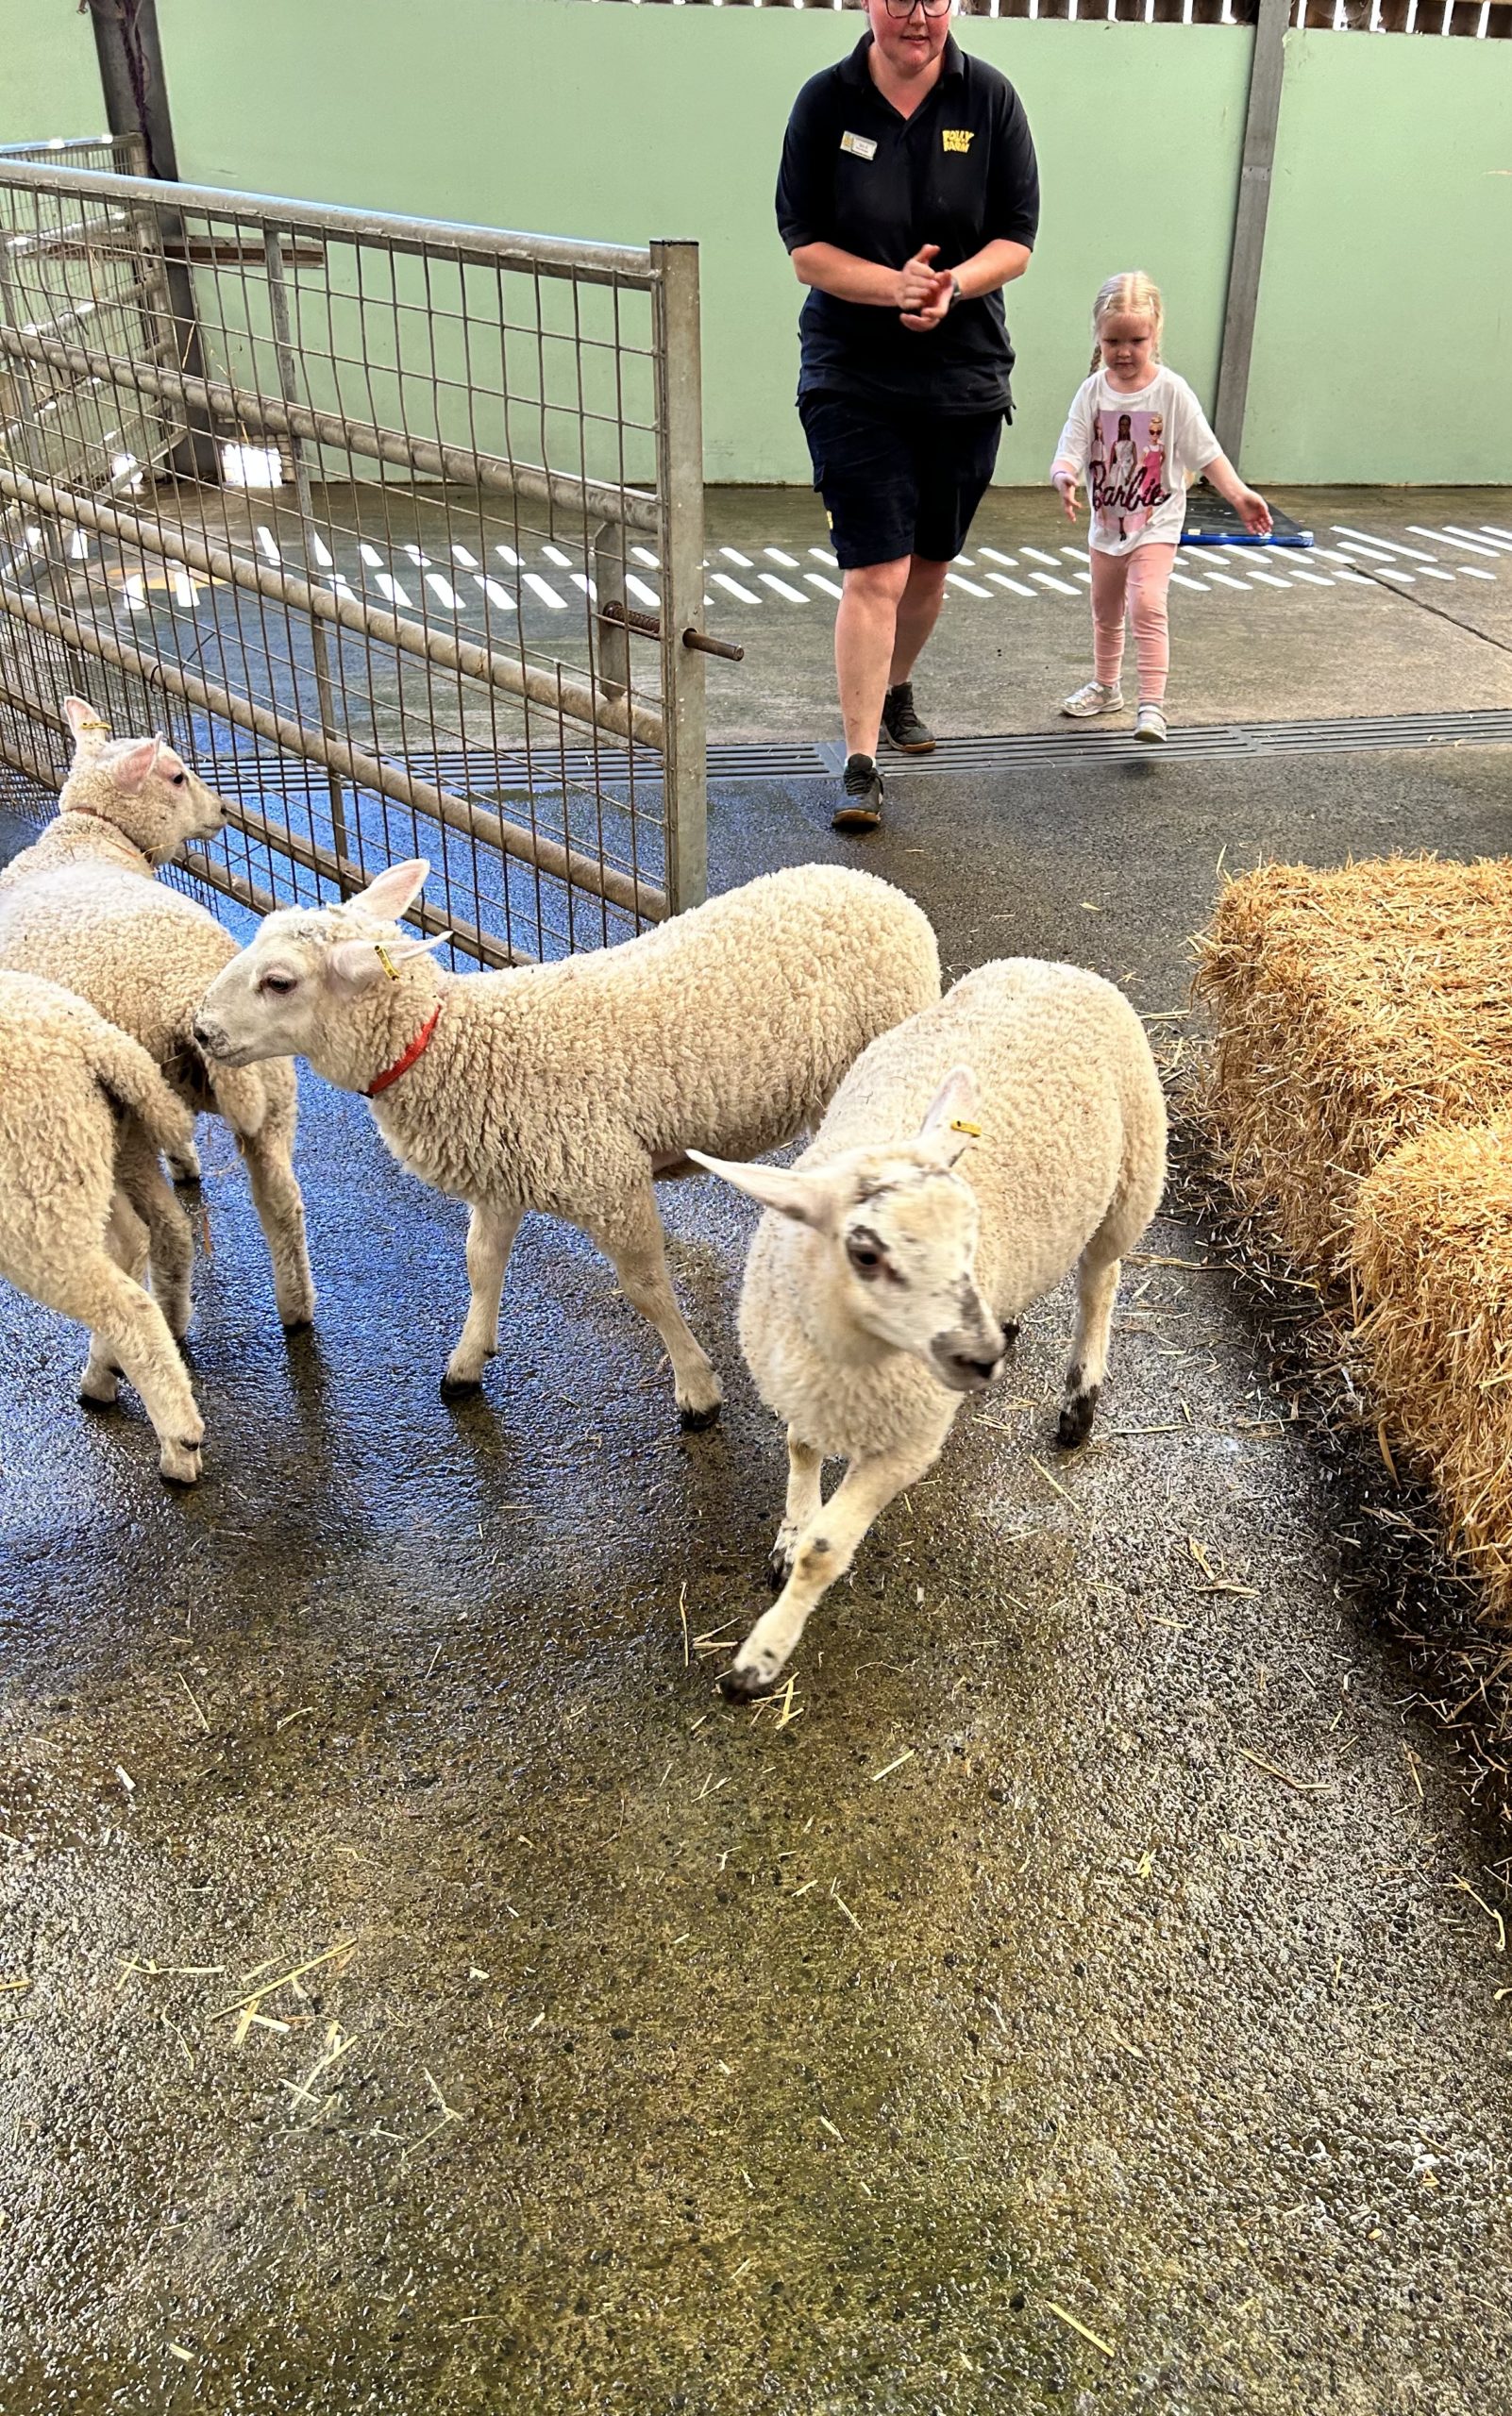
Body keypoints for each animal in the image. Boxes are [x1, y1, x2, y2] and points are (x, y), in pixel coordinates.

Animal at [0, 700, 313, 1334]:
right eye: (174, 776)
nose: (223, 811)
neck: (91, 835)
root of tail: (188, 998)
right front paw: (188, 1161)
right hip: (270, 1091)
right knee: (283, 1204)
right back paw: (296, 1309)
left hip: (129, 1120)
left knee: (170, 1230)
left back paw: (171, 1313)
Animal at [0, 971, 202, 1478]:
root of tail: (98, 1040)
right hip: (82, 1163)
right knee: (132, 1241)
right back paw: (102, 1373)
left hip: (35, 1200)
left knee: (128, 1304)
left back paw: (180, 1445)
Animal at [193, 855, 936, 1420]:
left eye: (279, 982)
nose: (200, 1031)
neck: (454, 1047)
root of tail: (875, 887)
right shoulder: (499, 1178)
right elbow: (481, 1265)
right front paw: (467, 1362)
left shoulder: (608, 1179)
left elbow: (646, 1289)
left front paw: (697, 1387)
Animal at [690, 951, 1159, 1710]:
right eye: (865, 1253)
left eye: (970, 1229)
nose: (981, 1357)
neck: (846, 1359)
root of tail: (1054, 965)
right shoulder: (801, 1381)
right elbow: (798, 1451)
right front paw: (789, 1532)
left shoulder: (908, 1442)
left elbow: (825, 1552)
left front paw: (759, 1660)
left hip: (1131, 1184)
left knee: (1101, 1281)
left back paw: (1079, 1400)